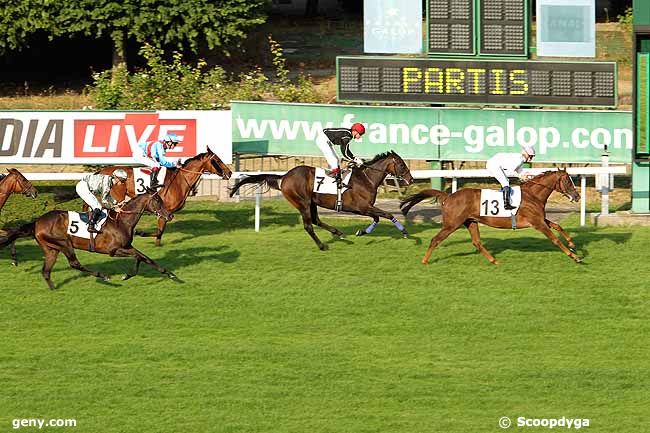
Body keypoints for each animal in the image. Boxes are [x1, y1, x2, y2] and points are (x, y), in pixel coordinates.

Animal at [0, 191, 175, 288]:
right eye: (158, 201)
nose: (170, 215)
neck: (121, 221)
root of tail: (37, 222)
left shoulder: (127, 246)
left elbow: (145, 257)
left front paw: (170, 274)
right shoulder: (113, 250)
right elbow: (138, 257)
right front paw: (126, 276)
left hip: (51, 249)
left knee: (46, 271)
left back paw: (54, 289)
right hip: (64, 244)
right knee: (74, 264)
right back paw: (104, 276)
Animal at [95, 148, 229, 245]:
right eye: (217, 160)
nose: (229, 173)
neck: (179, 180)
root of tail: (101, 172)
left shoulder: (165, 212)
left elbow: (160, 231)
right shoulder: (163, 211)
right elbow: (159, 230)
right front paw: (142, 234)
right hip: (116, 197)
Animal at [228, 150, 410, 250]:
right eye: (402, 165)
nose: (410, 179)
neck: (366, 179)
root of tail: (284, 177)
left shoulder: (365, 208)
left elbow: (378, 217)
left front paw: (362, 232)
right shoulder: (362, 207)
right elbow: (386, 215)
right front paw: (405, 232)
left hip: (312, 202)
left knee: (316, 220)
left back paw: (338, 233)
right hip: (302, 203)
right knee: (309, 225)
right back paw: (323, 245)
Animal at [398, 168, 580, 264]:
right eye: (568, 181)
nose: (577, 196)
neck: (533, 194)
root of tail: (449, 196)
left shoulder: (540, 219)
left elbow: (557, 225)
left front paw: (572, 243)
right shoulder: (537, 222)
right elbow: (554, 239)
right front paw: (575, 256)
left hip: (470, 222)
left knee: (477, 242)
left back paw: (494, 260)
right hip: (451, 224)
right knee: (435, 239)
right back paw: (424, 261)